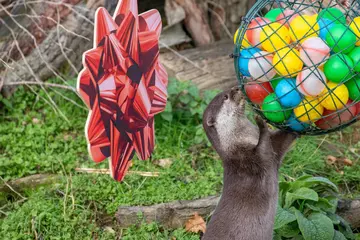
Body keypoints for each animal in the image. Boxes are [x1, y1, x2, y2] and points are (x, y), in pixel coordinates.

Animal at [201, 87, 296, 239]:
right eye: (226, 97)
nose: (236, 88)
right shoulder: (251, 160)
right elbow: (263, 148)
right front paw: (261, 123)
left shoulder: (275, 148)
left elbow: (284, 138)